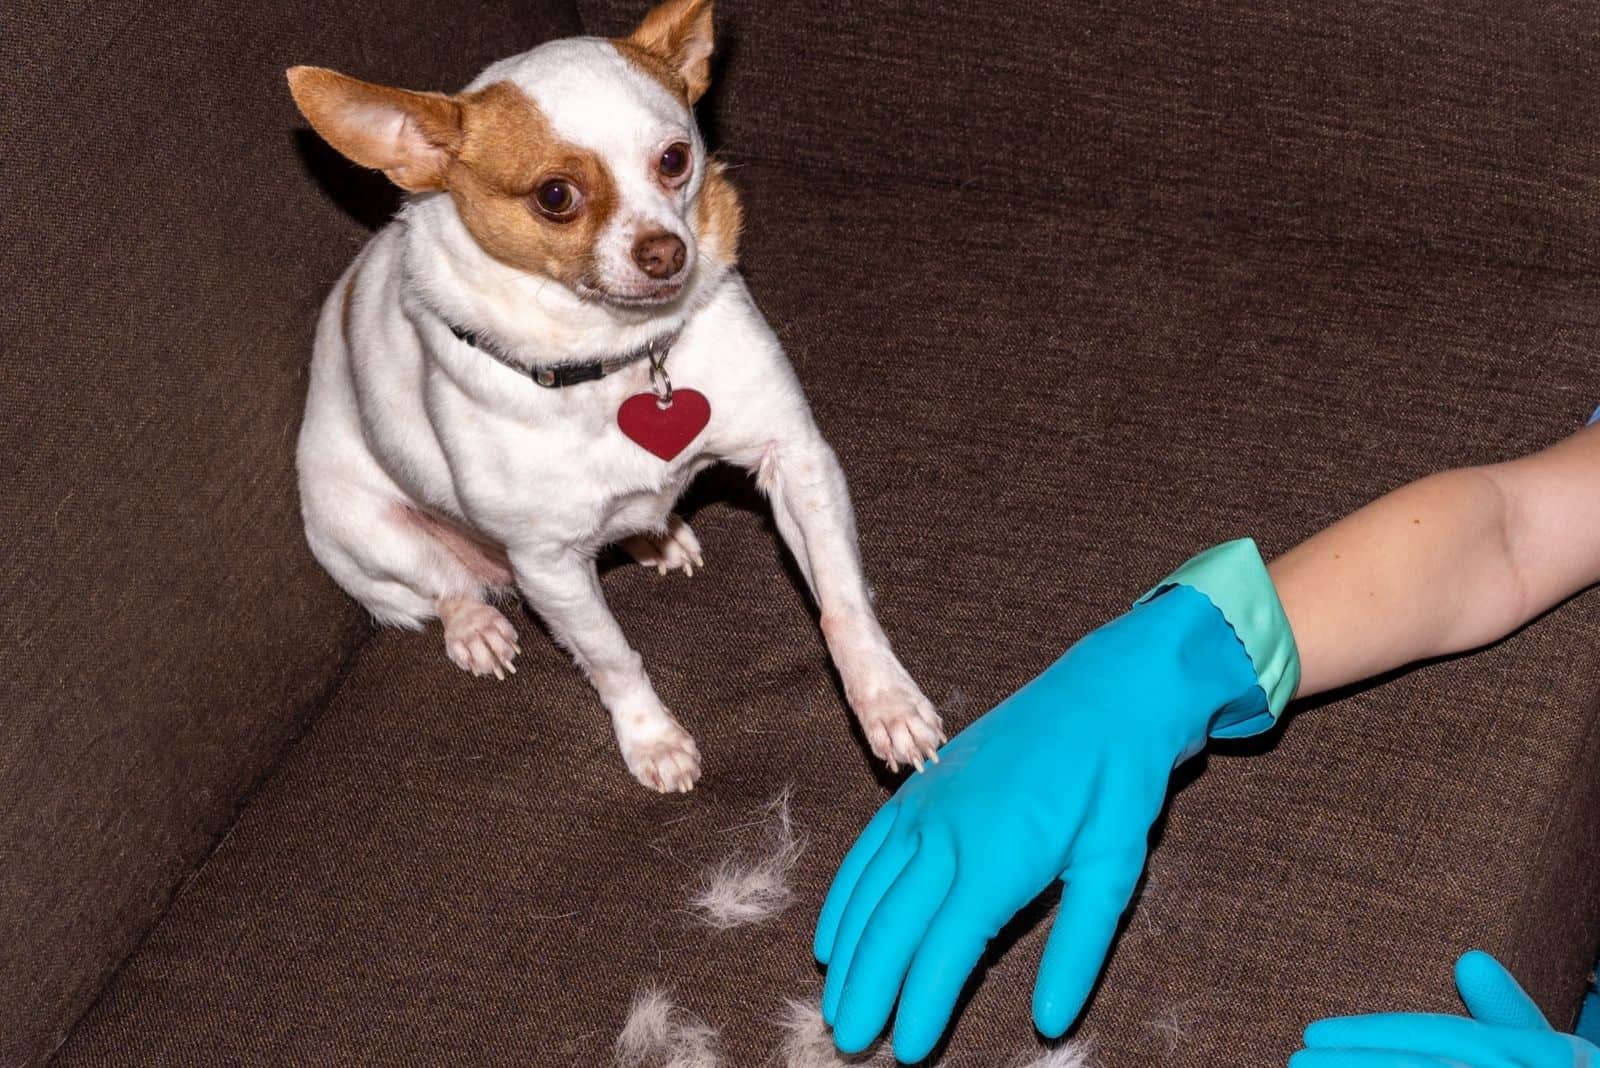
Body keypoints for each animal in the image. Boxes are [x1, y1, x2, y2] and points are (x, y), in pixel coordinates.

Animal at [288, 0, 940, 789]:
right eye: (555, 196)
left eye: (675, 158)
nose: (665, 251)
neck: (620, 358)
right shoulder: (548, 566)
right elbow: (611, 656)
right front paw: (651, 740)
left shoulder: (798, 462)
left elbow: (842, 603)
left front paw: (885, 701)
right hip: (369, 542)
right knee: (443, 591)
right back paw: (477, 627)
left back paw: (656, 535)